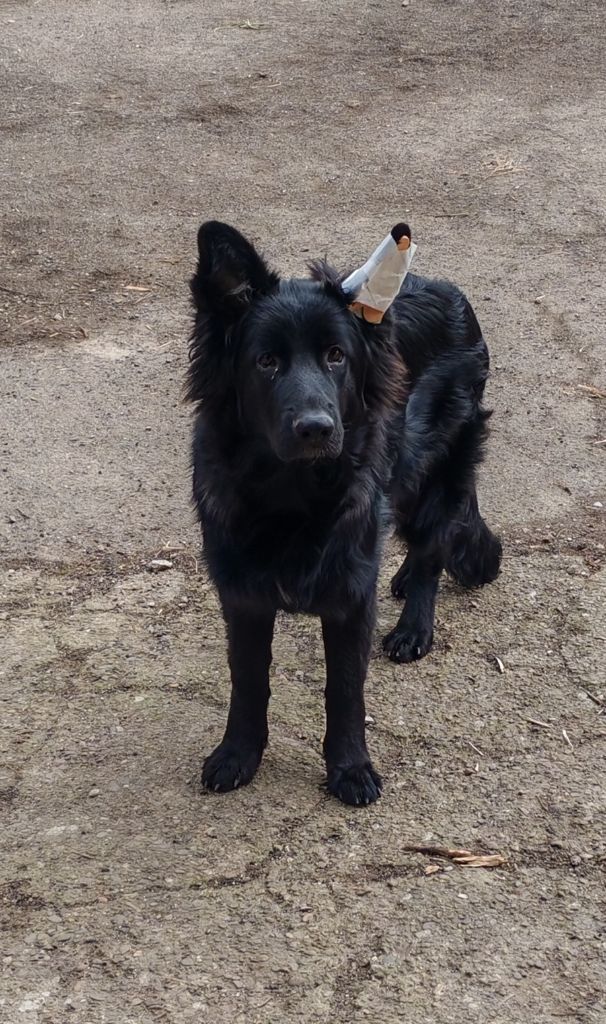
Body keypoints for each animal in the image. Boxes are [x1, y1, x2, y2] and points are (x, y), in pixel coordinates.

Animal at [186, 222, 501, 806]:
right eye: (266, 362)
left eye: (336, 356)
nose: (316, 429)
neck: (290, 494)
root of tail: (448, 291)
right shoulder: (242, 596)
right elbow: (248, 680)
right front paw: (239, 754)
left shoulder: (351, 597)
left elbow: (345, 689)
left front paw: (350, 768)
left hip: (434, 471)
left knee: (432, 546)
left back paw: (414, 626)